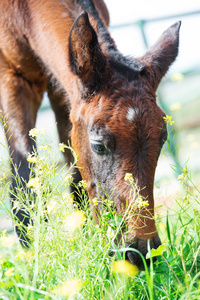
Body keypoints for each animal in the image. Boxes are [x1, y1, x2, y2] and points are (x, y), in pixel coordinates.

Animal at [0, 0, 181, 268]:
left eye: (162, 139)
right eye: (98, 145)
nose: (140, 252)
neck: (23, 14)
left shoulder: (64, 87)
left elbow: (76, 177)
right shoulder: (13, 76)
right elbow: (24, 179)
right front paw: (35, 259)